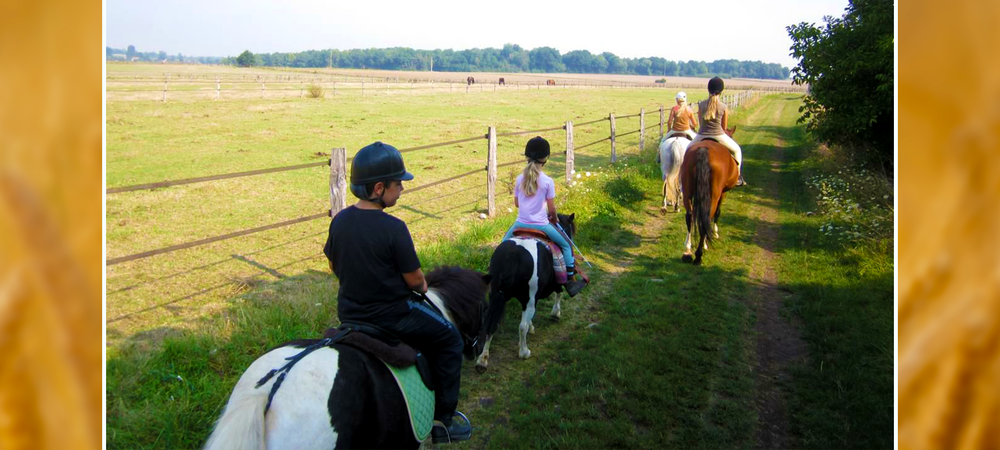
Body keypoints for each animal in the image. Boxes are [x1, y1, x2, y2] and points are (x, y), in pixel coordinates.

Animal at [476, 214, 580, 372]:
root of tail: (513, 255)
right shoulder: (547, 288)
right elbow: (559, 293)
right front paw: (555, 313)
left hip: (495, 295)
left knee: (490, 323)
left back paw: (482, 360)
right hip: (528, 298)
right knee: (521, 327)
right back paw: (524, 352)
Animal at [676, 126, 740, 266]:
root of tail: (703, 150)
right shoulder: (722, 193)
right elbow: (717, 212)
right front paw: (715, 233)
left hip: (687, 191)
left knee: (689, 216)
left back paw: (687, 250)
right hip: (714, 195)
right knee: (707, 216)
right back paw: (699, 253)